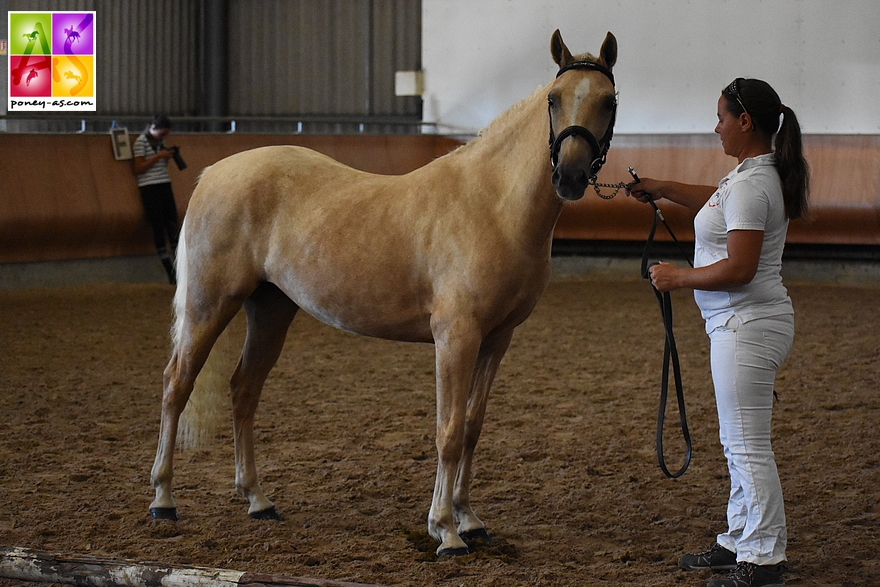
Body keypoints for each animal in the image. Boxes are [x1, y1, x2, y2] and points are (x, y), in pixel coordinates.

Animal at [150, 29, 620, 560]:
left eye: (607, 101)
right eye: (553, 99)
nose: (570, 176)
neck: (492, 204)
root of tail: (214, 172)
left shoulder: (496, 340)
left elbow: (473, 427)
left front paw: (470, 519)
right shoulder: (456, 338)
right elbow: (448, 431)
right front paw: (445, 530)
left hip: (270, 310)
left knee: (243, 390)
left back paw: (257, 500)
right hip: (209, 306)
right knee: (176, 384)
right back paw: (164, 500)